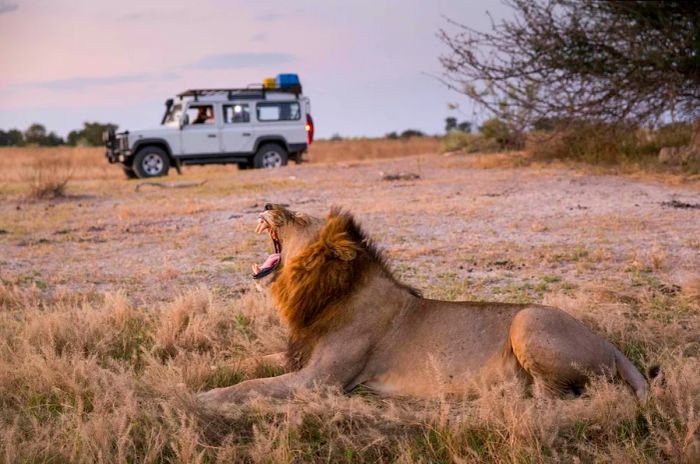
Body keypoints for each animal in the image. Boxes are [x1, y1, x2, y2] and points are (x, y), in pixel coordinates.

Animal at [194, 203, 648, 410]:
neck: (322, 293)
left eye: (298, 216)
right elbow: (248, 362)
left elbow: (251, 385)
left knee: (554, 398)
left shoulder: (320, 381)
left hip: (527, 320)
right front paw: (200, 373)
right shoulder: (297, 356)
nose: (267, 203)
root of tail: (609, 344)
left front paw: (204, 397)